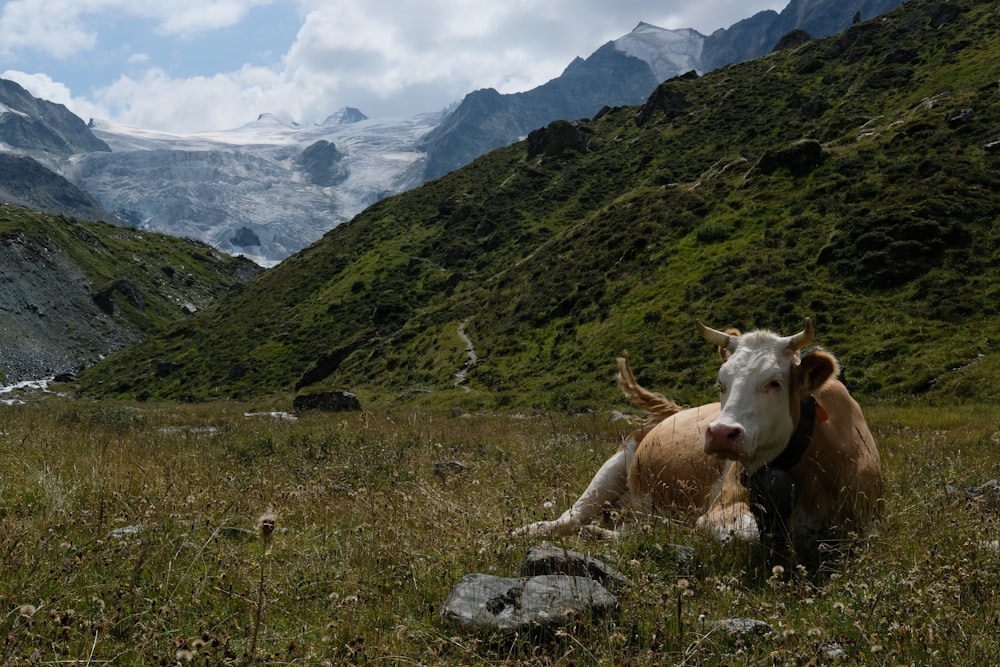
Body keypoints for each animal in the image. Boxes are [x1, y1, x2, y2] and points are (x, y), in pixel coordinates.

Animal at [516, 318, 884, 560]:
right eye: (721, 382)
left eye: (775, 382)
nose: (721, 433)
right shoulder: (723, 505)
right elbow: (743, 535)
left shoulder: (870, 523)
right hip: (615, 463)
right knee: (570, 518)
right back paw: (530, 530)